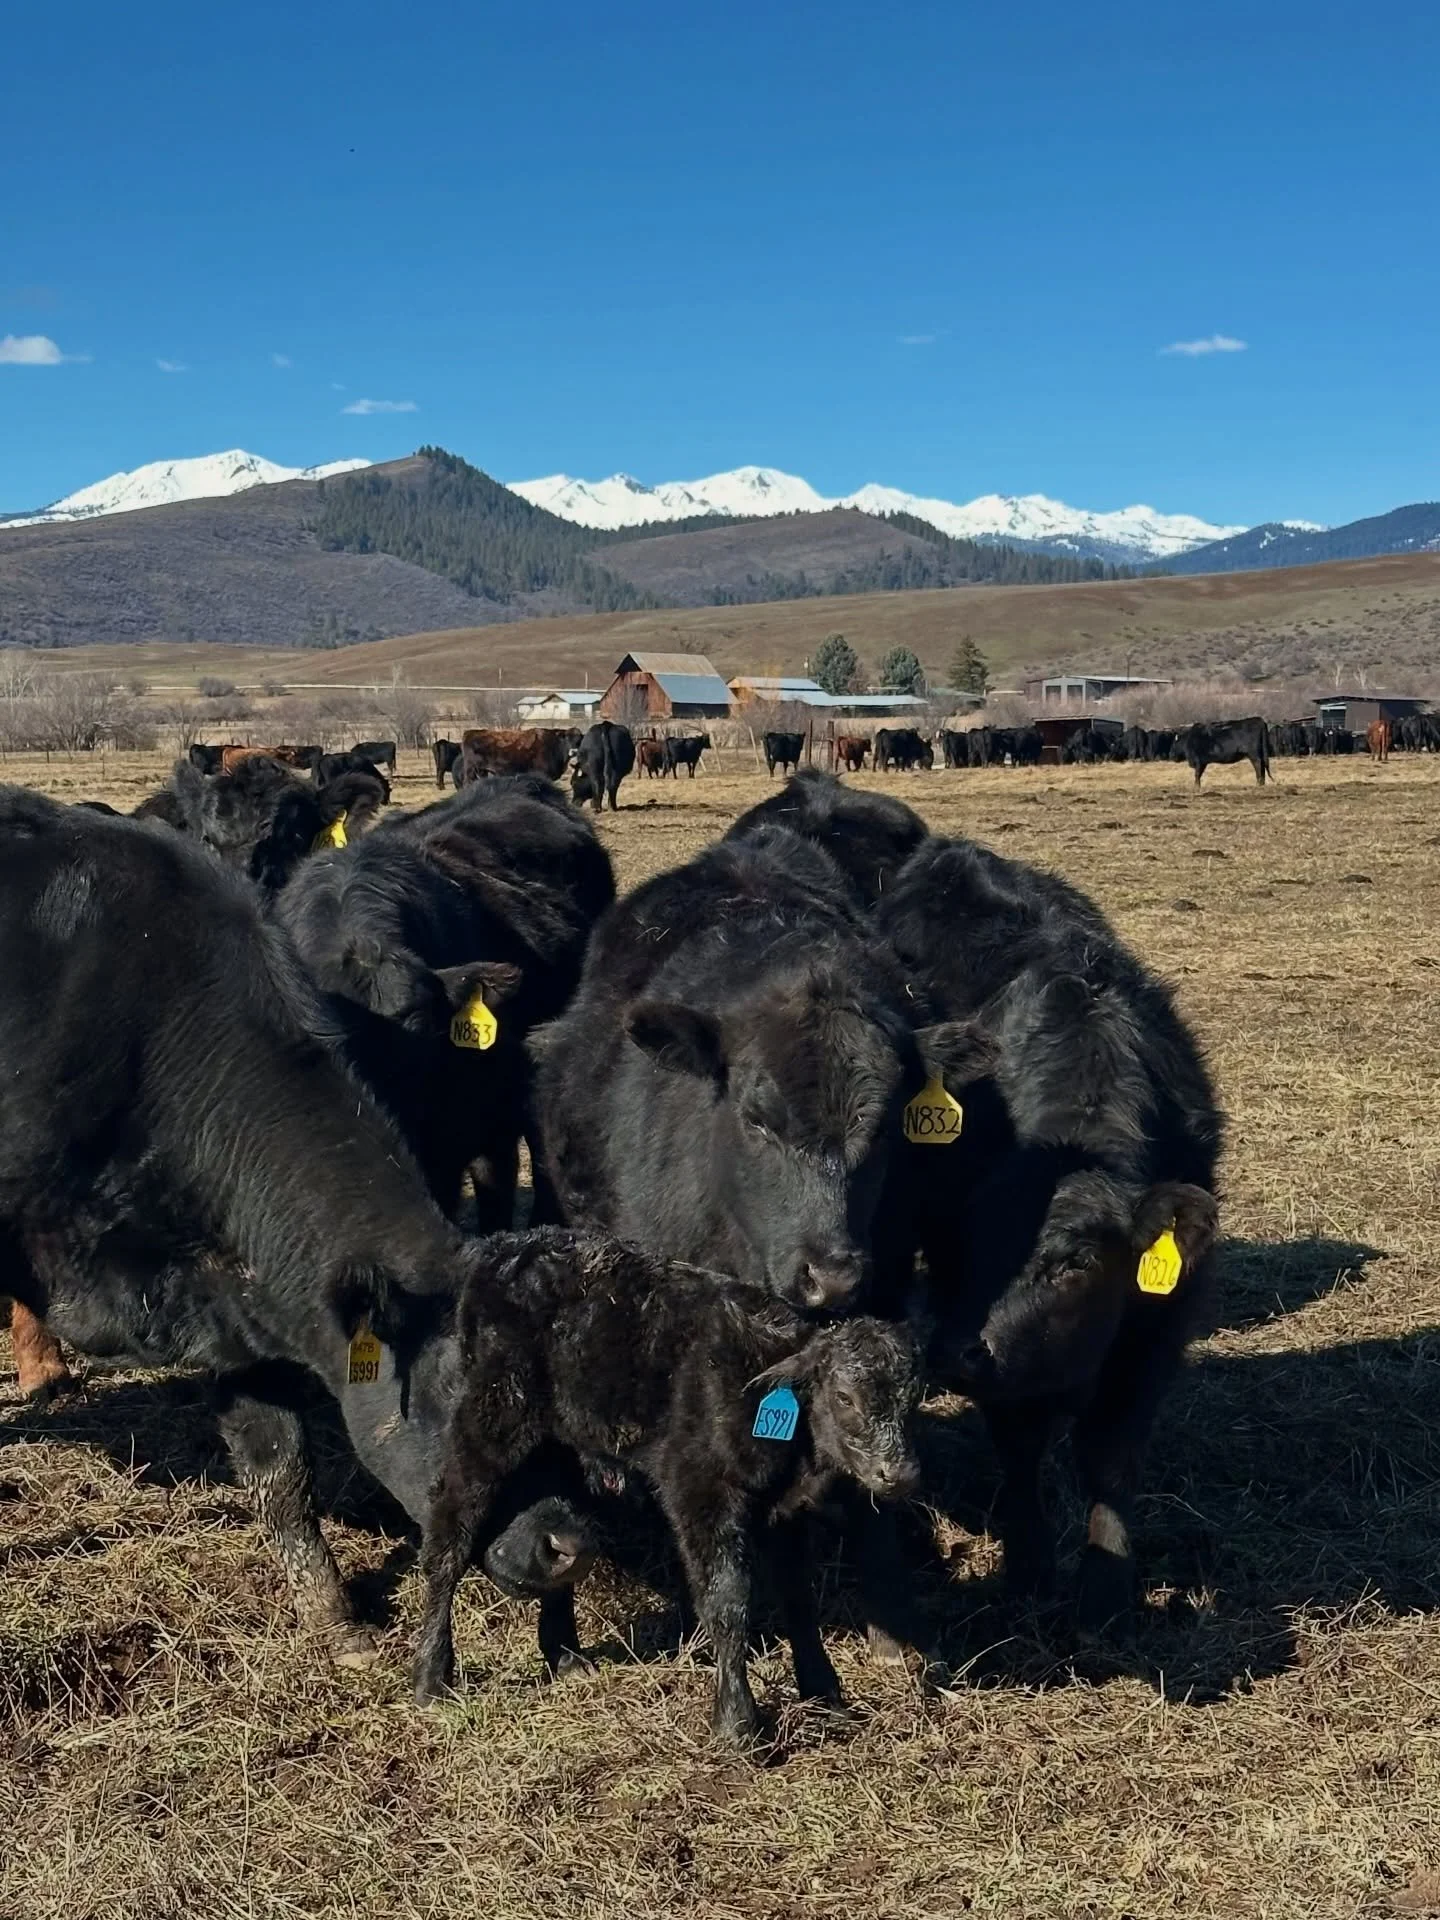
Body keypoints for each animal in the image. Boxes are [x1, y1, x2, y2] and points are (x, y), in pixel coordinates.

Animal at [412, 1228, 922, 1744]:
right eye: (844, 1397)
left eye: (911, 1398)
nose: (899, 1473)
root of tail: (509, 1245)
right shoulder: (698, 1491)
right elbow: (726, 1600)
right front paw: (737, 1722)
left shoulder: (787, 1510)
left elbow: (799, 1598)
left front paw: (825, 1697)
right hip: (489, 1418)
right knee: (450, 1533)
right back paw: (432, 1679)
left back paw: (567, 1658)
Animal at [876, 834, 1223, 1633]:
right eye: (964, 1244)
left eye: (1074, 1265)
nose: (954, 1352)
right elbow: (1020, 1445)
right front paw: (1030, 1567)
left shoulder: (1159, 1329)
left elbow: (1110, 1456)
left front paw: (1104, 1591)